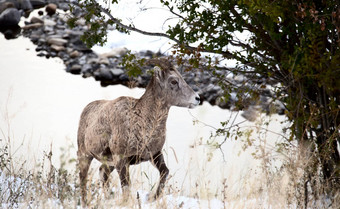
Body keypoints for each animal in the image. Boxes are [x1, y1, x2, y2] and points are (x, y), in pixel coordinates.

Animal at [77, 58, 199, 205]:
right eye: (173, 81)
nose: (197, 98)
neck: (142, 122)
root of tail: (86, 109)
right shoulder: (121, 159)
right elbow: (126, 188)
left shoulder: (155, 155)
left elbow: (165, 172)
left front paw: (153, 197)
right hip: (85, 155)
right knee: (83, 178)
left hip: (109, 163)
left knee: (102, 173)